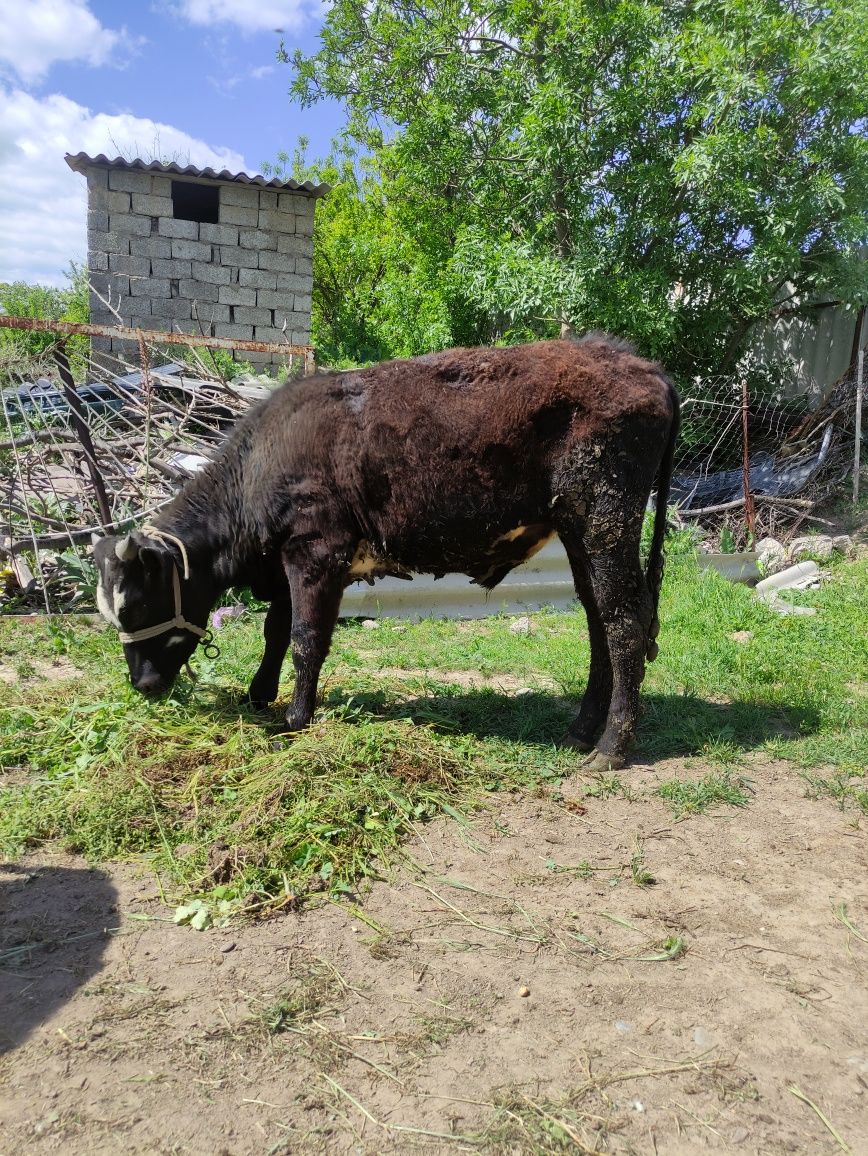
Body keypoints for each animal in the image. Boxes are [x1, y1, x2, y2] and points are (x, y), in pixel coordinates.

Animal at [93, 335, 679, 767]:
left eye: (137, 604)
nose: (142, 685)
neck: (261, 462)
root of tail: (642, 364)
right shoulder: (287, 564)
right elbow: (276, 631)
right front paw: (260, 695)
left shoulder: (315, 552)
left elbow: (306, 639)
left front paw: (295, 719)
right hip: (580, 534)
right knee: (599, 620)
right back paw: (581, 730)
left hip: (606, 522)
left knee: (624, 624)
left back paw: (610, 749)